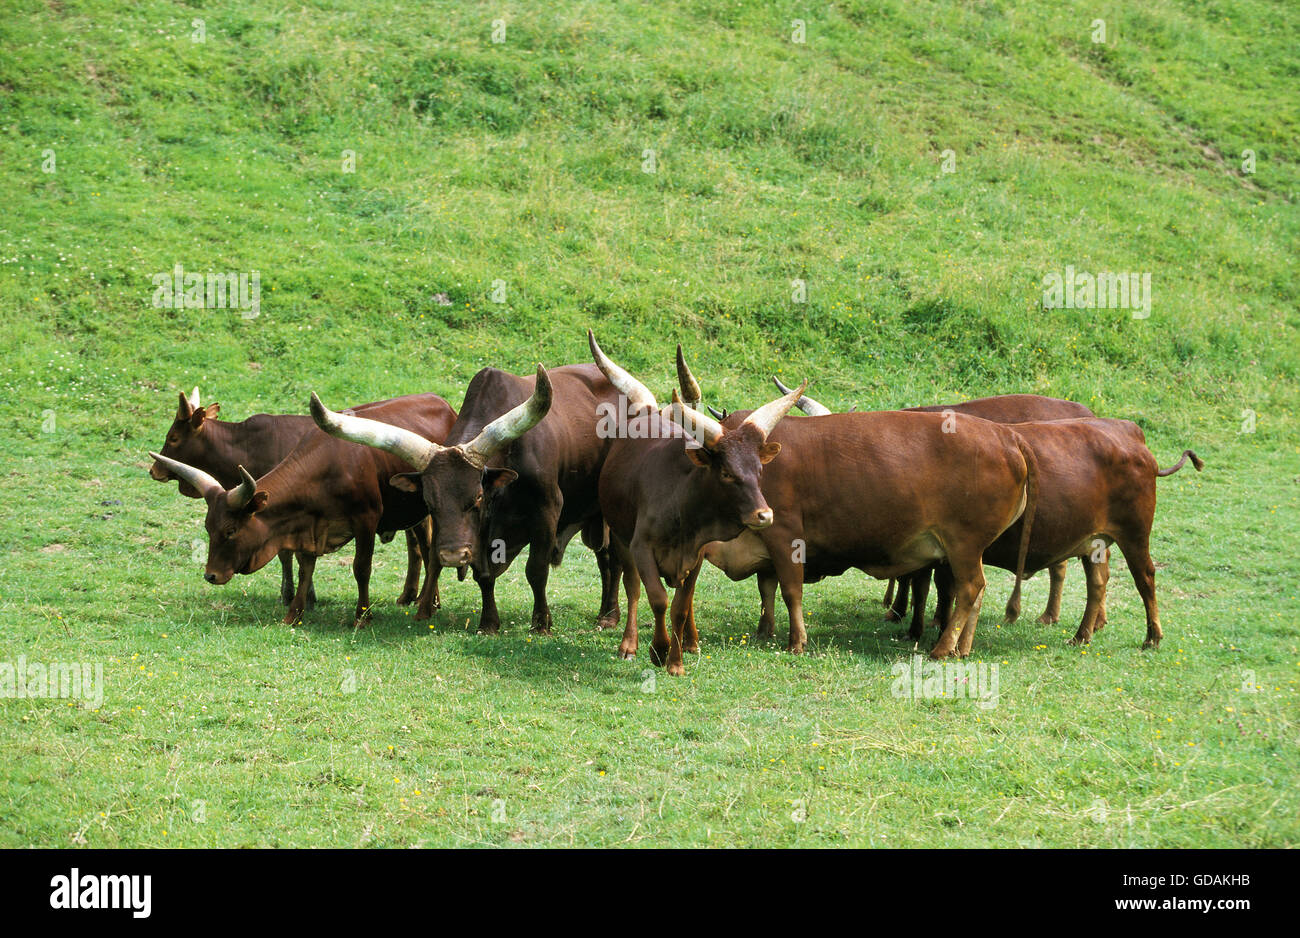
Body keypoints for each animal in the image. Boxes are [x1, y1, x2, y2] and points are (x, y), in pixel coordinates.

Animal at [144, 389, 452, 623]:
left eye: (173, 438)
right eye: (208, 529)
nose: (210, 575)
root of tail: (441, 402)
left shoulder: (365, 520)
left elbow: (359, 568)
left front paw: (360, 616)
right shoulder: (303, 522)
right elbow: (304, 565)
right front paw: (295, 610)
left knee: (426, 549)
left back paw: (425, 601)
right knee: (421, 547)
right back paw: (420, 598)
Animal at [309, 361, 624, 631]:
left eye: (478, 498)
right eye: (430, 503)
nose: (452, 555)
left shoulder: (547, 512)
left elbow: (536, 571)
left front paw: (541, 623)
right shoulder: (478, 535)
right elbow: (483, 576)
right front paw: (489, 623)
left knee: (611, 558)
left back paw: (608, 616)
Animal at [590, 328, 800, 670]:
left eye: (759, 470)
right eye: (726, 472)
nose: (764, 515)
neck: (682, 507)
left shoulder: (697, 553)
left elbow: (681, 605)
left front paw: (675, 661)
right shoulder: (641, 547)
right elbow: (657, 599)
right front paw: (658, 650)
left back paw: (691, 642)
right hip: (621, 537)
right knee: (633, 588)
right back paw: (629, 644)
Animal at [691, 358, 1045, 657]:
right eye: (723, 469)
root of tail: (1006, 436)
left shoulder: (784, 534)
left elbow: (790, 589)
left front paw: (796, 642)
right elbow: (766, 587)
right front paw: (765, 631)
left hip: (964, 545)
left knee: (970, 588)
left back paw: (943, 648)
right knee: (973, 593)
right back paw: (962, 648)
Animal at [920, 418, 1201, 646]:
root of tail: (1129, 431)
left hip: (1135, 536)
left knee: (1145, 578)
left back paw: (1152, 637)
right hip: (1094, 542)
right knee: (1097, 582)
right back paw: (1081, 635)